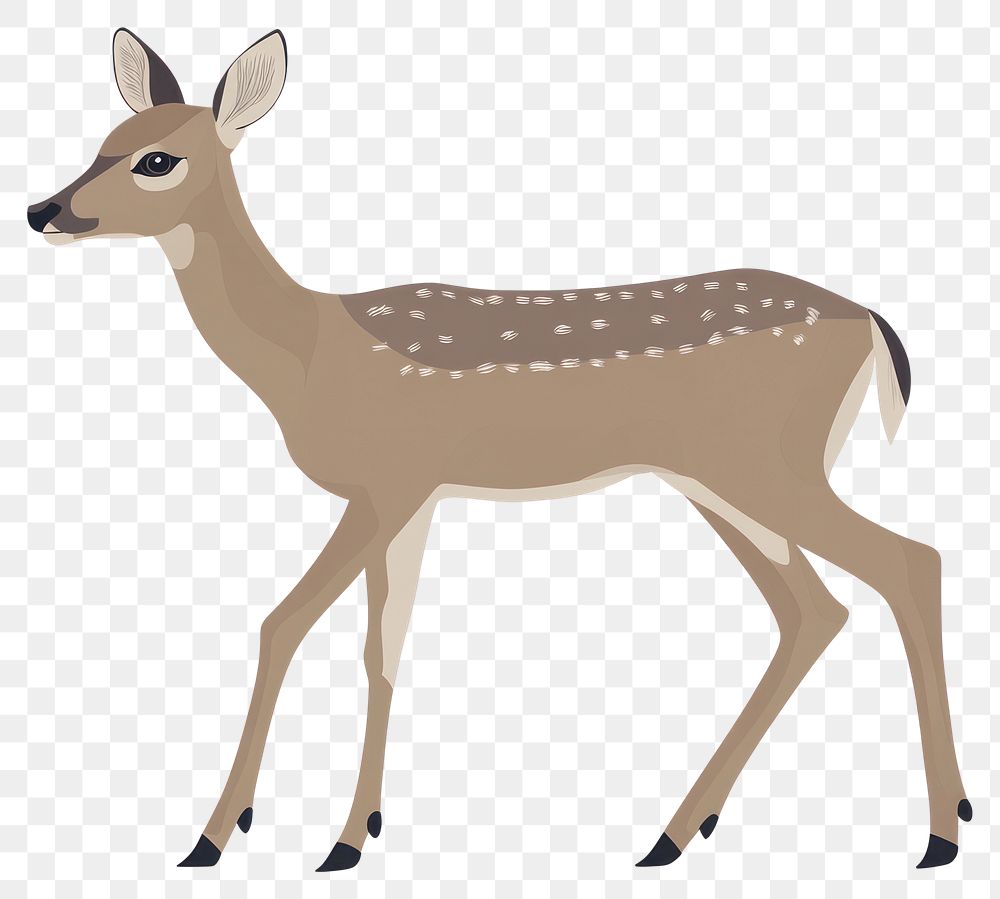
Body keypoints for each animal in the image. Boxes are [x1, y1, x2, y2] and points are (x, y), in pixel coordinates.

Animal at [27, 29, 970, 874]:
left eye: (157, 160)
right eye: (101, 142)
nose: (43, 210)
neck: (308, 354)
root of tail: (873, 323)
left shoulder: (390, 480)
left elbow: (284, 623)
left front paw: (219, 835)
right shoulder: (411, 500)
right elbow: (381, 646)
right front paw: (352, 836)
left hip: (765, 464)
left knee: (907, 561)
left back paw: (941, 832)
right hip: (722, 481)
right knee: (814, 608)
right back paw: (675, 832)